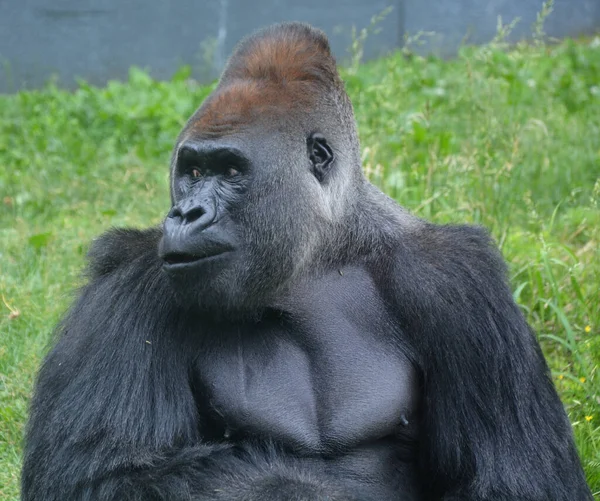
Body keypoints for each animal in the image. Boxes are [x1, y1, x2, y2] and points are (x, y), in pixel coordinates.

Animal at [22, 22, 592, 500]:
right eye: (193, 170)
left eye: (231, 170)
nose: (185, 213)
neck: (319, 256)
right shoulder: (127, 279)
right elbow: (103, 474)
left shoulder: (459, 285)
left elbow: (517, 477)